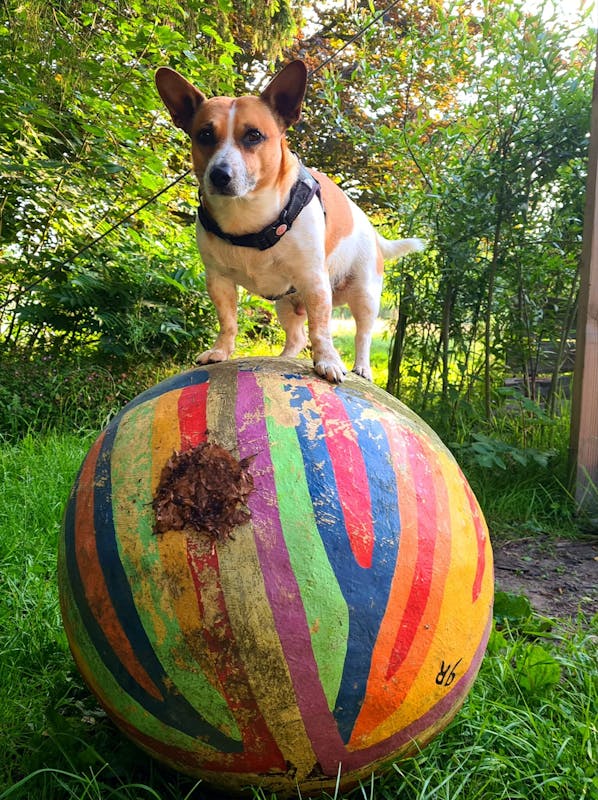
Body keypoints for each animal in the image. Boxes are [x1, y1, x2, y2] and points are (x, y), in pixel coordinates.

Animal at [155, 59, 424, 383]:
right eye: (204, 135)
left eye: (254, 135)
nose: (219, 175)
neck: (247, 218)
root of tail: (373, 232)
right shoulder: (218, 281)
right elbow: (228, 321)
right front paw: (220, 351)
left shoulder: (315, 283)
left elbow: (321, 330)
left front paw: (327, 361)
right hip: (286, 304)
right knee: (296, 337)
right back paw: (283, 358)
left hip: (365, 296)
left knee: (362, 335)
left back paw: (361, 367)